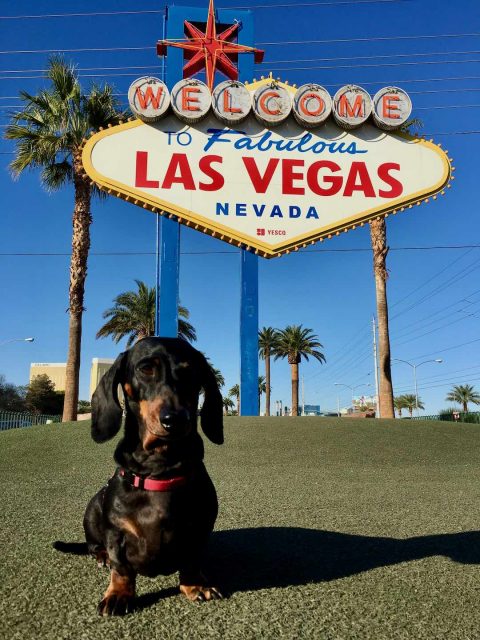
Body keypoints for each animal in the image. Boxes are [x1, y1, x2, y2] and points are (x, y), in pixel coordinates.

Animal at [83, 338, 225, 616]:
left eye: (191, 372)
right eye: (146, 368)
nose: (176, 419)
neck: (160, 468)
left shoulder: (200, 529)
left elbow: (192, 560)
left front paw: (195, 585)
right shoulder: (116, 531)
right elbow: (121, 568)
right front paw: (118, 594)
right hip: (93, 507)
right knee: (93, 546)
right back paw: (101, 556)